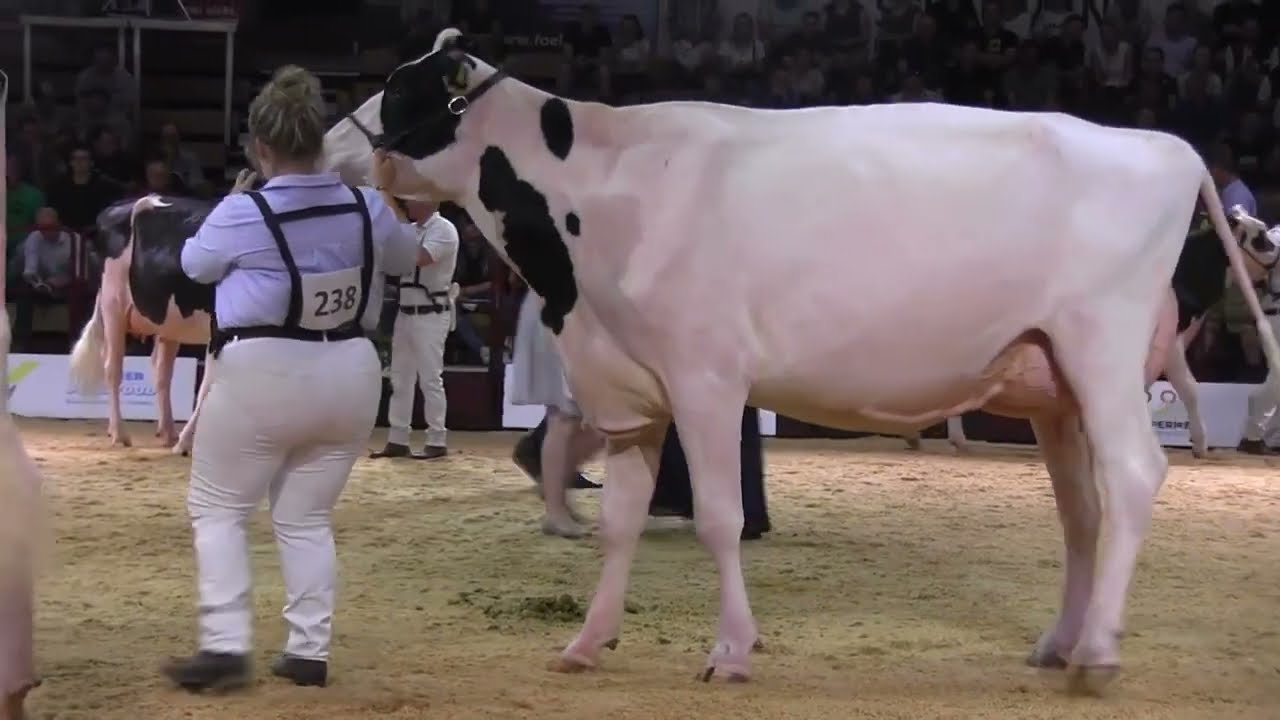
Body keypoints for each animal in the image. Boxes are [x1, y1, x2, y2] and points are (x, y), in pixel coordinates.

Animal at [68, 195, 218, 454]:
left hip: (169, 322)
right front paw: (186, 443)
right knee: (113, 367)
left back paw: (167, 432)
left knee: (161, 372)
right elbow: (208, 386)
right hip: (113, 303)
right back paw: (120, 433)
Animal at [329, 30, 1280, 694]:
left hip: (1104, 349)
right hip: (1054, 388)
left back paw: (1100, 656)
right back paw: (1060, 643)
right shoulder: (633, 392)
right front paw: (587, 642)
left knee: (1132, 477)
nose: (329, 142)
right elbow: (620, 525)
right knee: (1082, 512)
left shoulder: (707, 379)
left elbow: (716, 519)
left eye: (402, 90)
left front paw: (730, 651)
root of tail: (1161, 144)